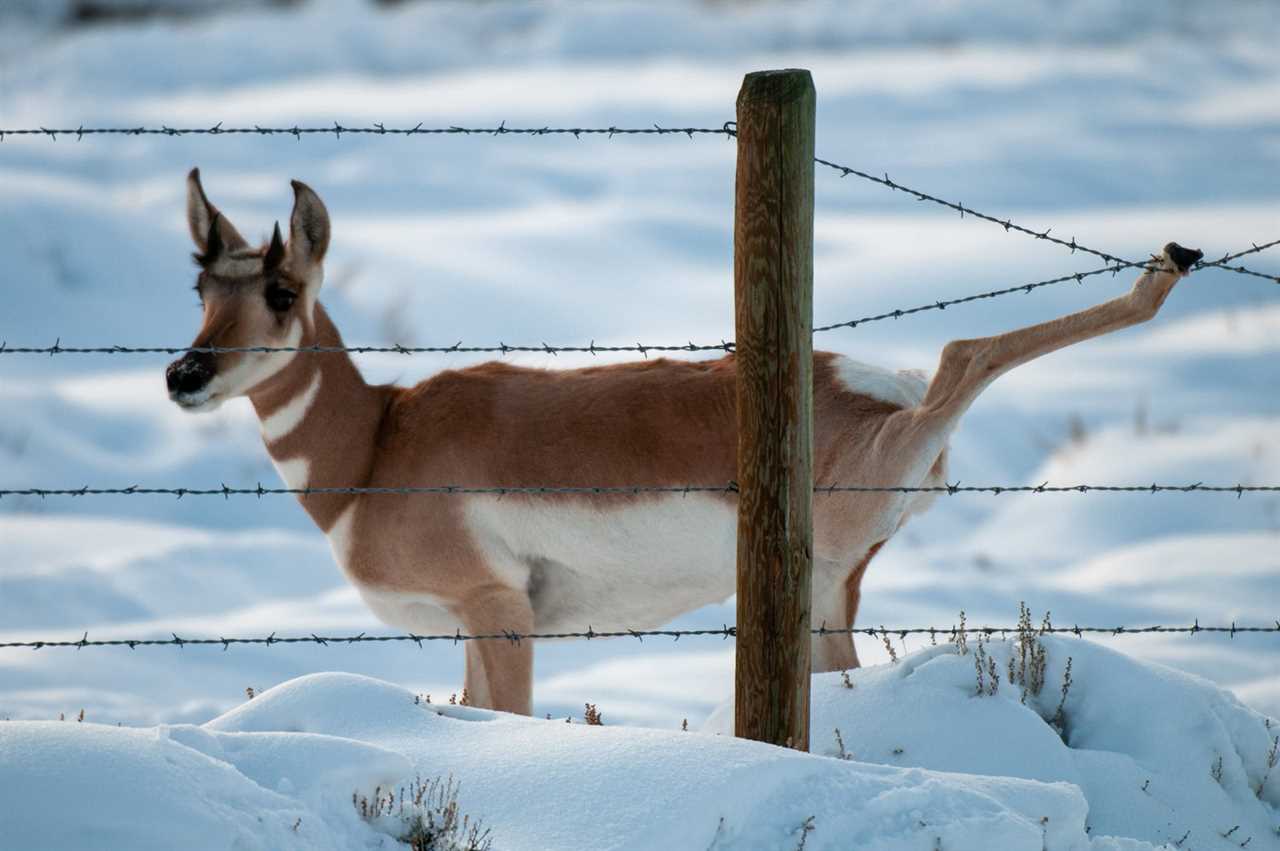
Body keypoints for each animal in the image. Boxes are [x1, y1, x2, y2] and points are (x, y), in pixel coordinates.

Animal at [167, 168, 1198, 711]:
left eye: (282, 291)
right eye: (201, 287)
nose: (185, 374)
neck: (377, 444)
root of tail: (863, 385)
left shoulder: (497, 609)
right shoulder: (471, 625)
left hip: (862, 507)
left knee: (961, 350)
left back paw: (1163, 267)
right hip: (831, 587)